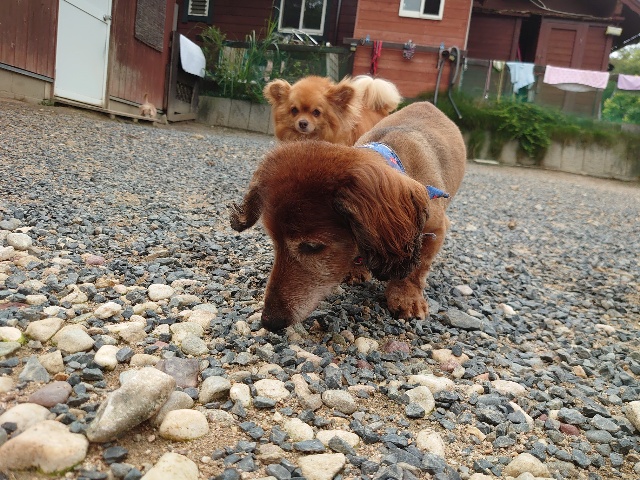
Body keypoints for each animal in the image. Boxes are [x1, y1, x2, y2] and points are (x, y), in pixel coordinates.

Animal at [230, 101, 466, 332]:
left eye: (312, 246)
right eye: (274, 242)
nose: (269, 321)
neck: (397, 161)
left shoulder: (436, 229)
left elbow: (416, 268)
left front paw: (407, 297)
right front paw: (357, 269)